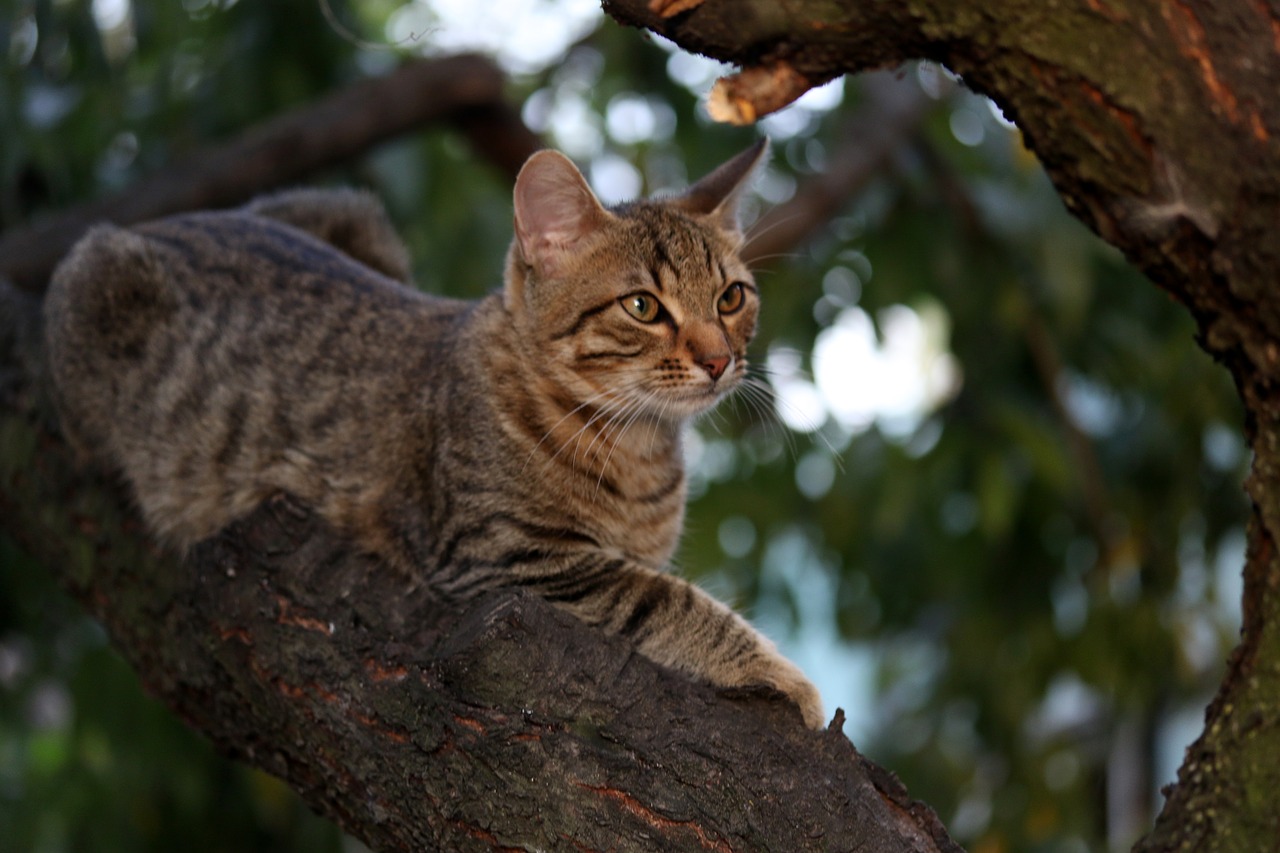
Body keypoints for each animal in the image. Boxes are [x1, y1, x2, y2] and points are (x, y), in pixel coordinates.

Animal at [42, 139, 829, 722]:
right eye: (643, 306)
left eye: (731, 298)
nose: (720, 359)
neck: (638, 451)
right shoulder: (511, 558)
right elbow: (669, 600)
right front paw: (786, 676)